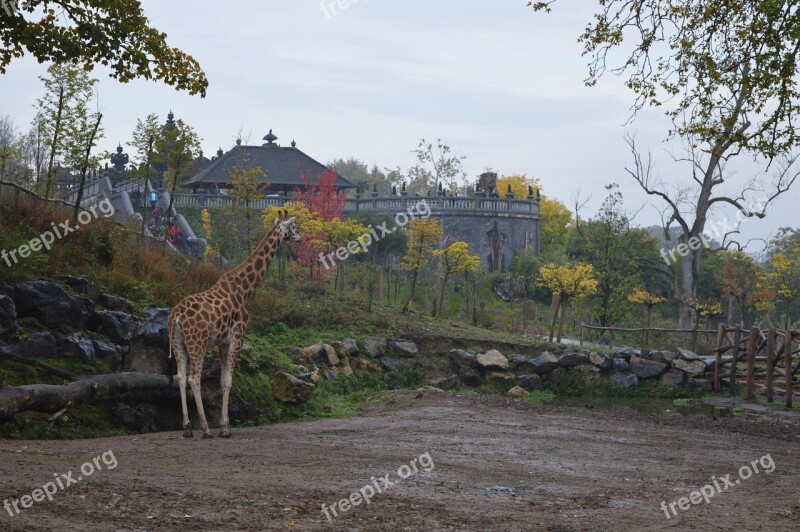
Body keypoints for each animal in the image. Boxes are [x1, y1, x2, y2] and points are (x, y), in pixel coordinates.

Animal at [167, 210, 302, 438]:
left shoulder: (222, 342)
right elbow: (229, 382)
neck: (244, 290)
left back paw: (187, 428)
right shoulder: (238, 338)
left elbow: (222, 382)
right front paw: (224, 427)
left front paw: (224, 425)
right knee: (194, 378)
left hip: (178, 343)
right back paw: (205, 428)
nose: (300, 238)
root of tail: (176, 317)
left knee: (181, 377)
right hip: (198, 343)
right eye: (293, 227)